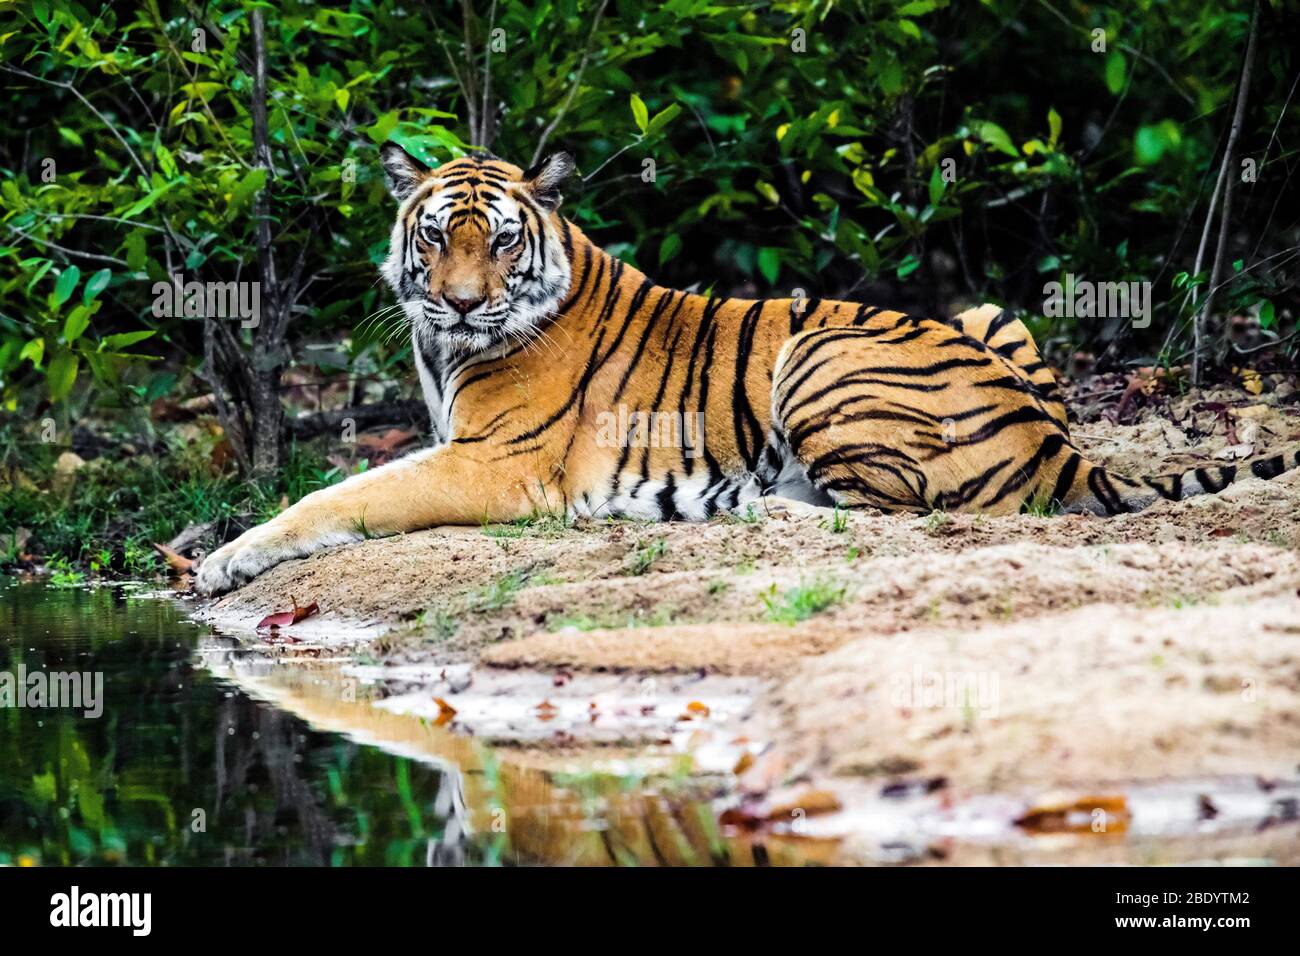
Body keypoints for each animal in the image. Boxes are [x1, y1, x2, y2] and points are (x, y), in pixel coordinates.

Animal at [192, 141, 1300, 595]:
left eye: (500, 241)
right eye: (435, 236)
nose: (461, 301)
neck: (447, 346)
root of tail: (1059, 446)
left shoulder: (492, 463)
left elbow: (336, 495)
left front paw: (219, 562)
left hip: (819, 349)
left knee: (893, 511)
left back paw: (751, 507)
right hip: (988, 314)